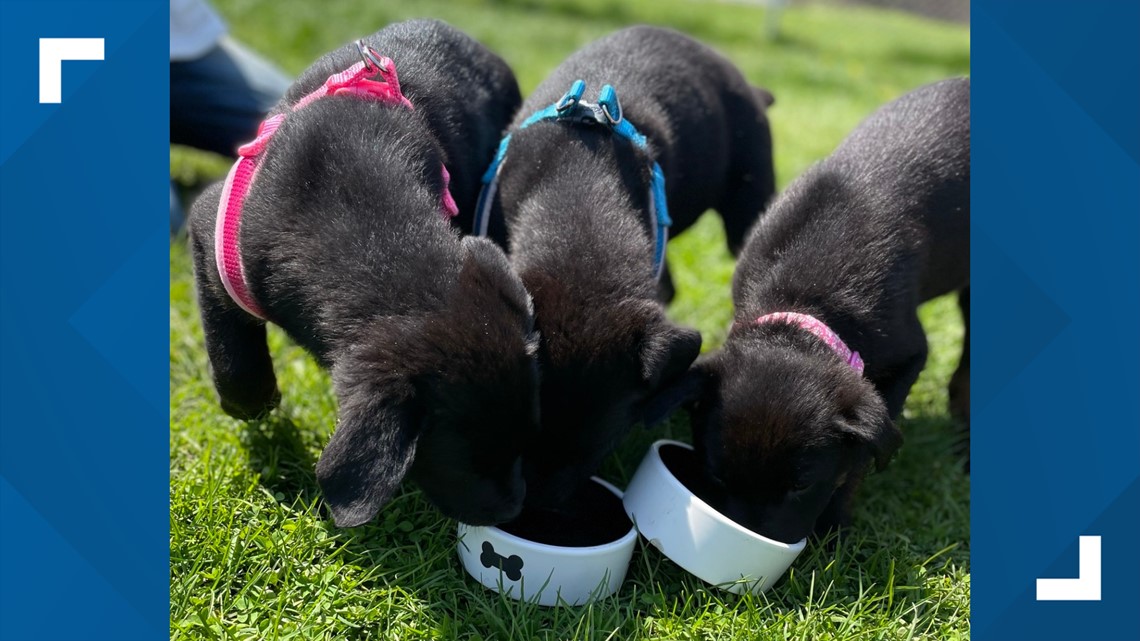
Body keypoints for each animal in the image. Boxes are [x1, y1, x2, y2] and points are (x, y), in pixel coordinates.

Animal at [656, 77, 966, 540]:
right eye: (717, 475)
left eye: (801, 485)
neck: (802, 303)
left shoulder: (908, 355)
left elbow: (861, 458)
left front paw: (834, 527)